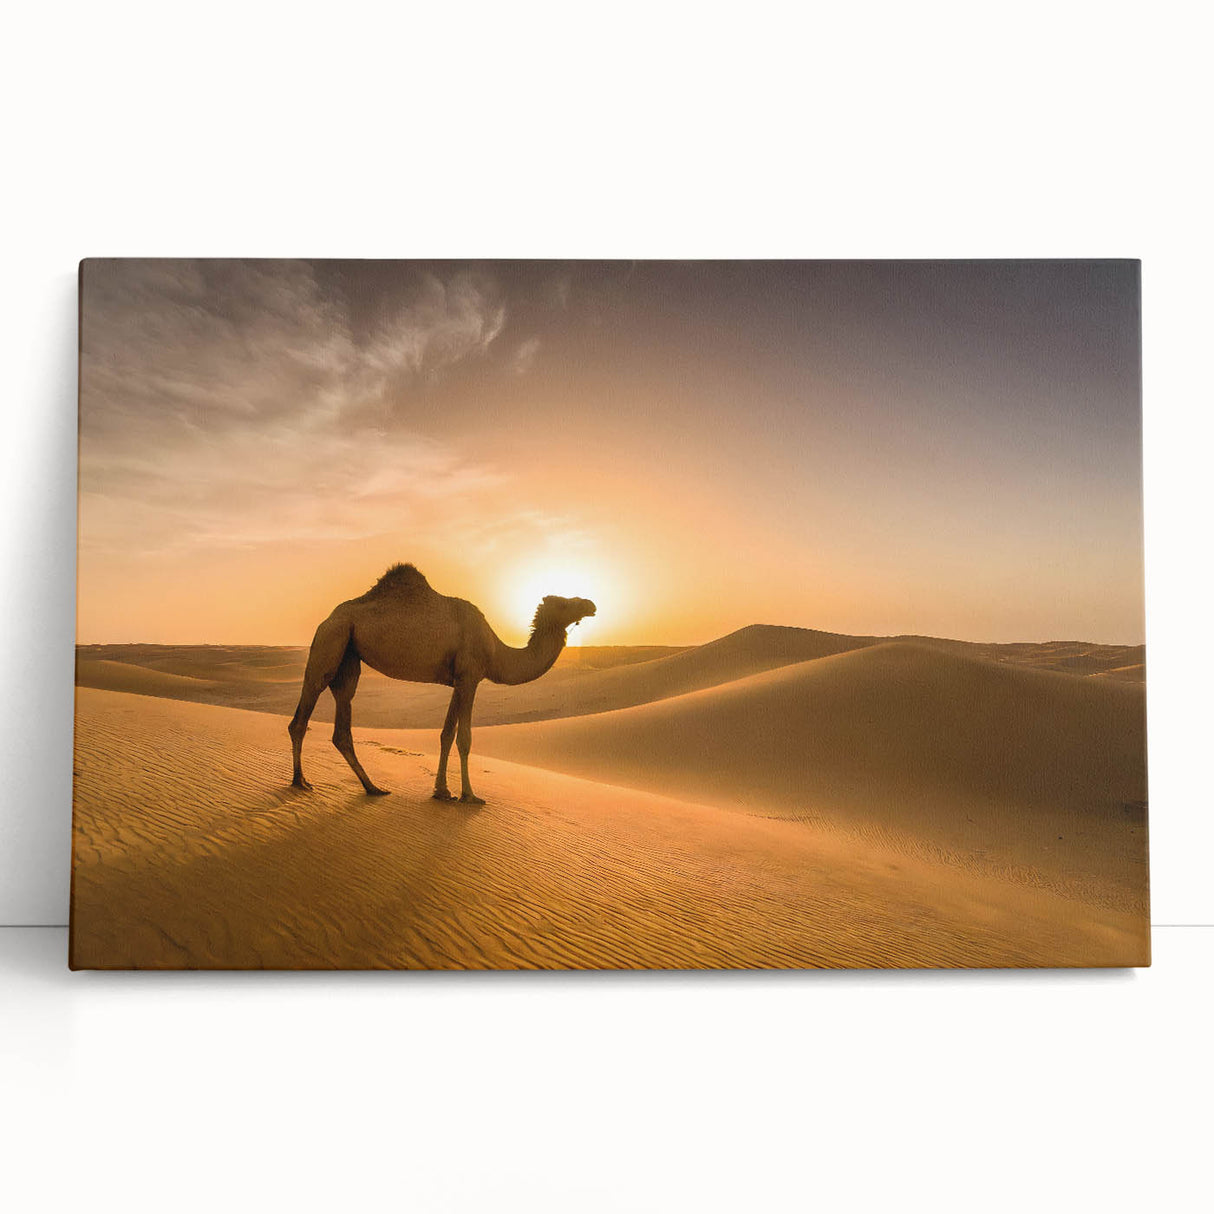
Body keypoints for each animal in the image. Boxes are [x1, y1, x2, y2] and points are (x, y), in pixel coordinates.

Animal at [288, 563, 596, 802]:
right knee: (304, 711)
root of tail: (327, 619)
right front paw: (469, 795)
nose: (590, 604)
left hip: (349, 655)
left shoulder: (457, 681)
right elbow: (464, 738)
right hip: (331, 639)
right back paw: (300, 782)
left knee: (342, 717)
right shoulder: (470, 677)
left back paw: (372, 787)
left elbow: (446, 734)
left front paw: (442, 791)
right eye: (565, 602)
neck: (495, 651)